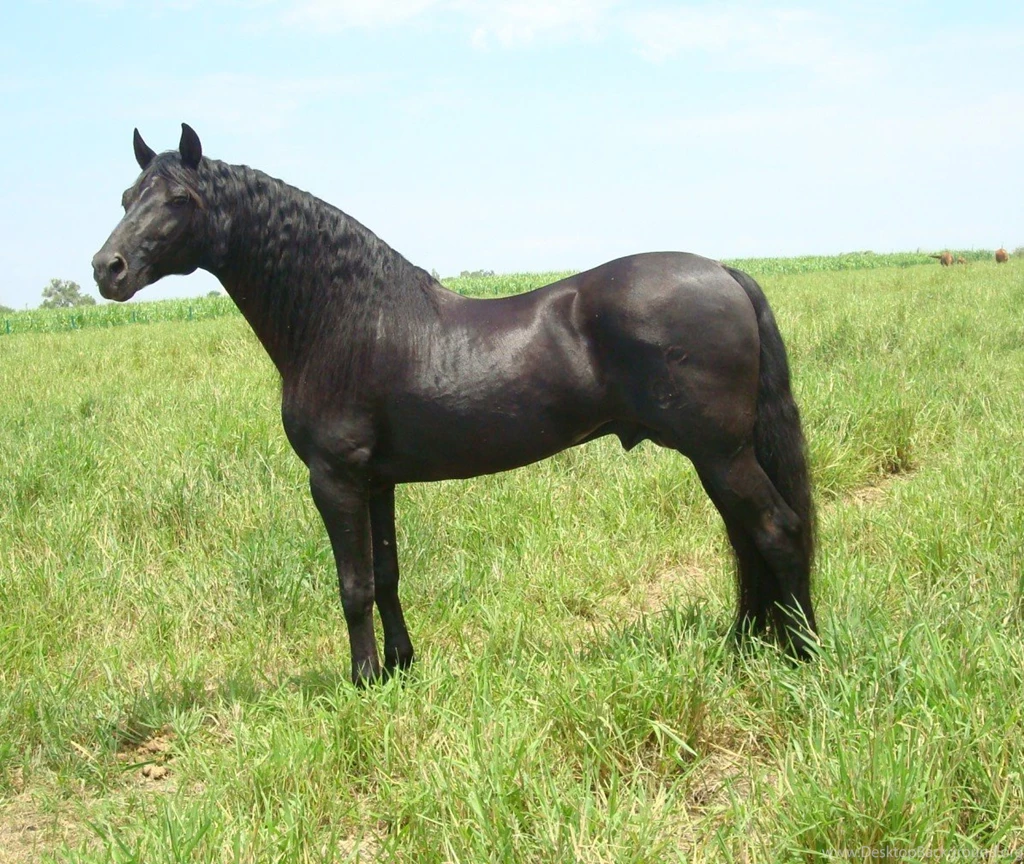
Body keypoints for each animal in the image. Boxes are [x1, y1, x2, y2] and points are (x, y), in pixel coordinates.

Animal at [93, 124, 817, 685]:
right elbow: (385, 575)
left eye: (179, 199)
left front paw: (360, 683)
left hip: (719, 452)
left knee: (776, 530)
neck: (344, 319)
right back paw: (744, 644)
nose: (108, 269)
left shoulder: (334, 478)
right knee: (746, 538)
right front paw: (398, 668)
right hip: (717, 455)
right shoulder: (376, 480)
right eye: (127, 196)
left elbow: (353, 585)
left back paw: (803, 655)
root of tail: (724, 272)